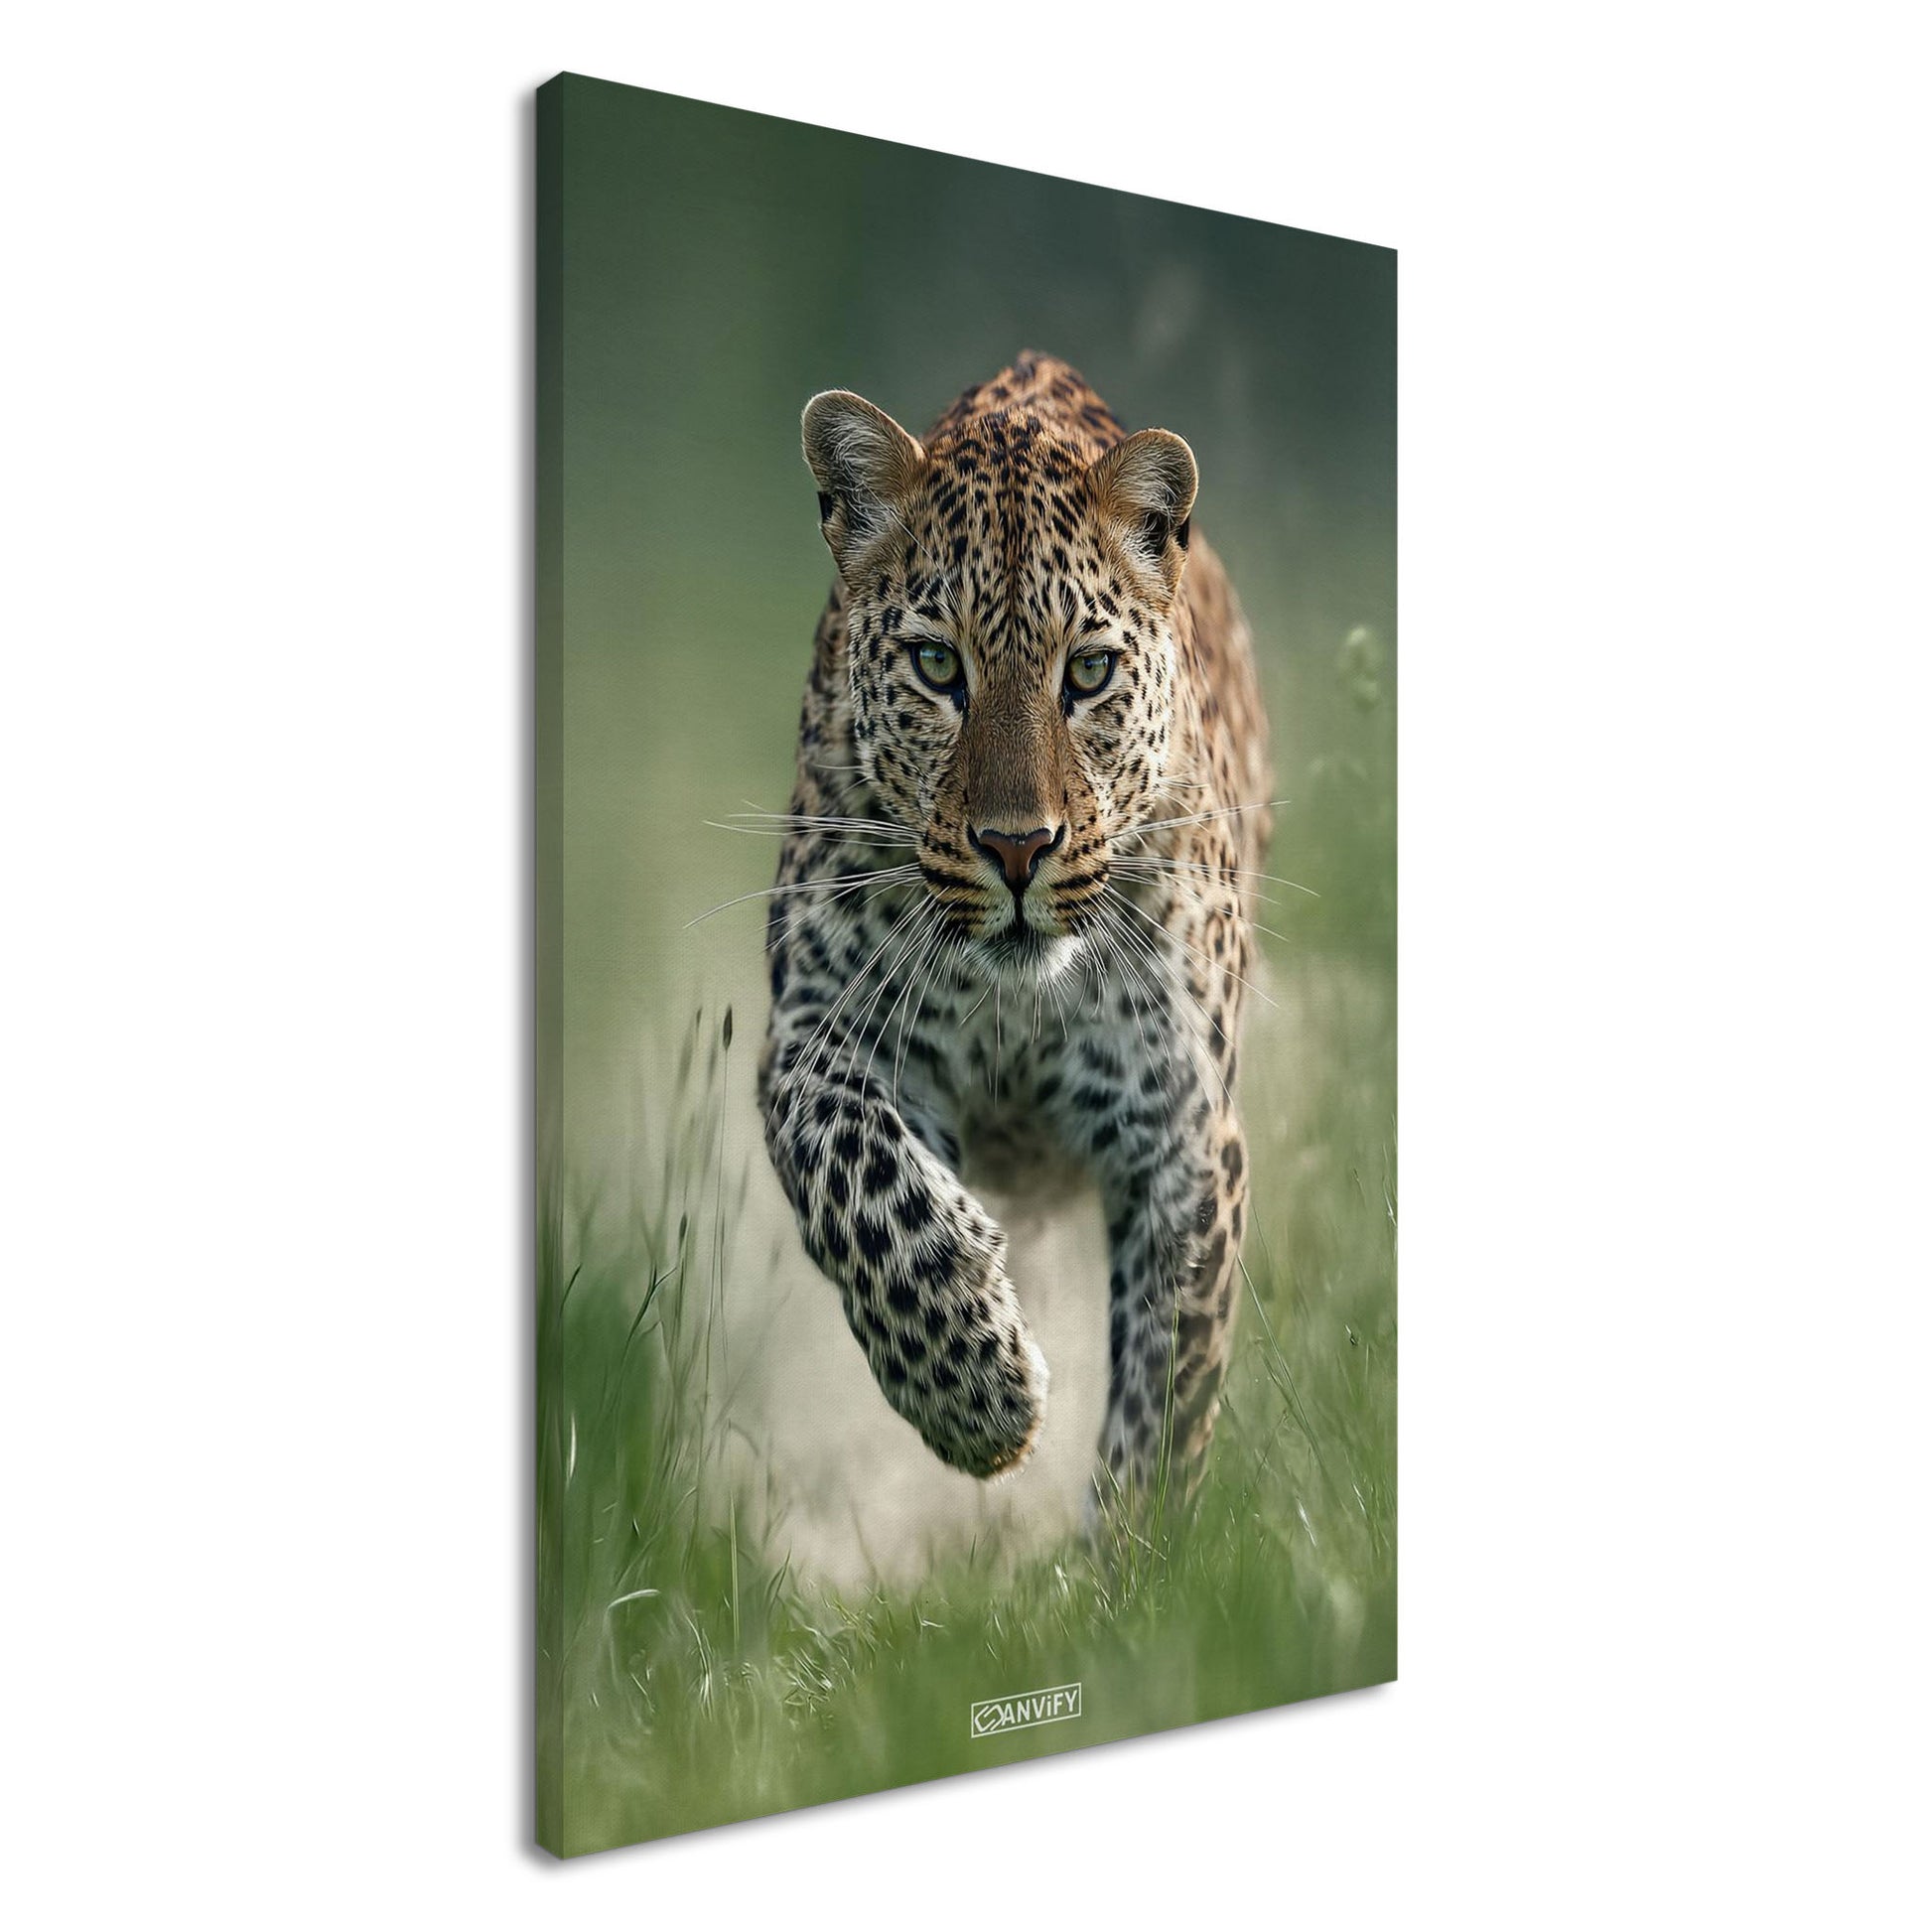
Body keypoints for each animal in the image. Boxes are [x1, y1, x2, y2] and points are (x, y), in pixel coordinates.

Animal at [756, 352, 1271, 1521]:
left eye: (1086, 672)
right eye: (937, 667)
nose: (1017, 847)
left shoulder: (1181, 1133)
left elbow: (1162, 1403)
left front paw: (1128, 1560)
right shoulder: (810, 1033)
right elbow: (863, 1185)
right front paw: (979, 1394)